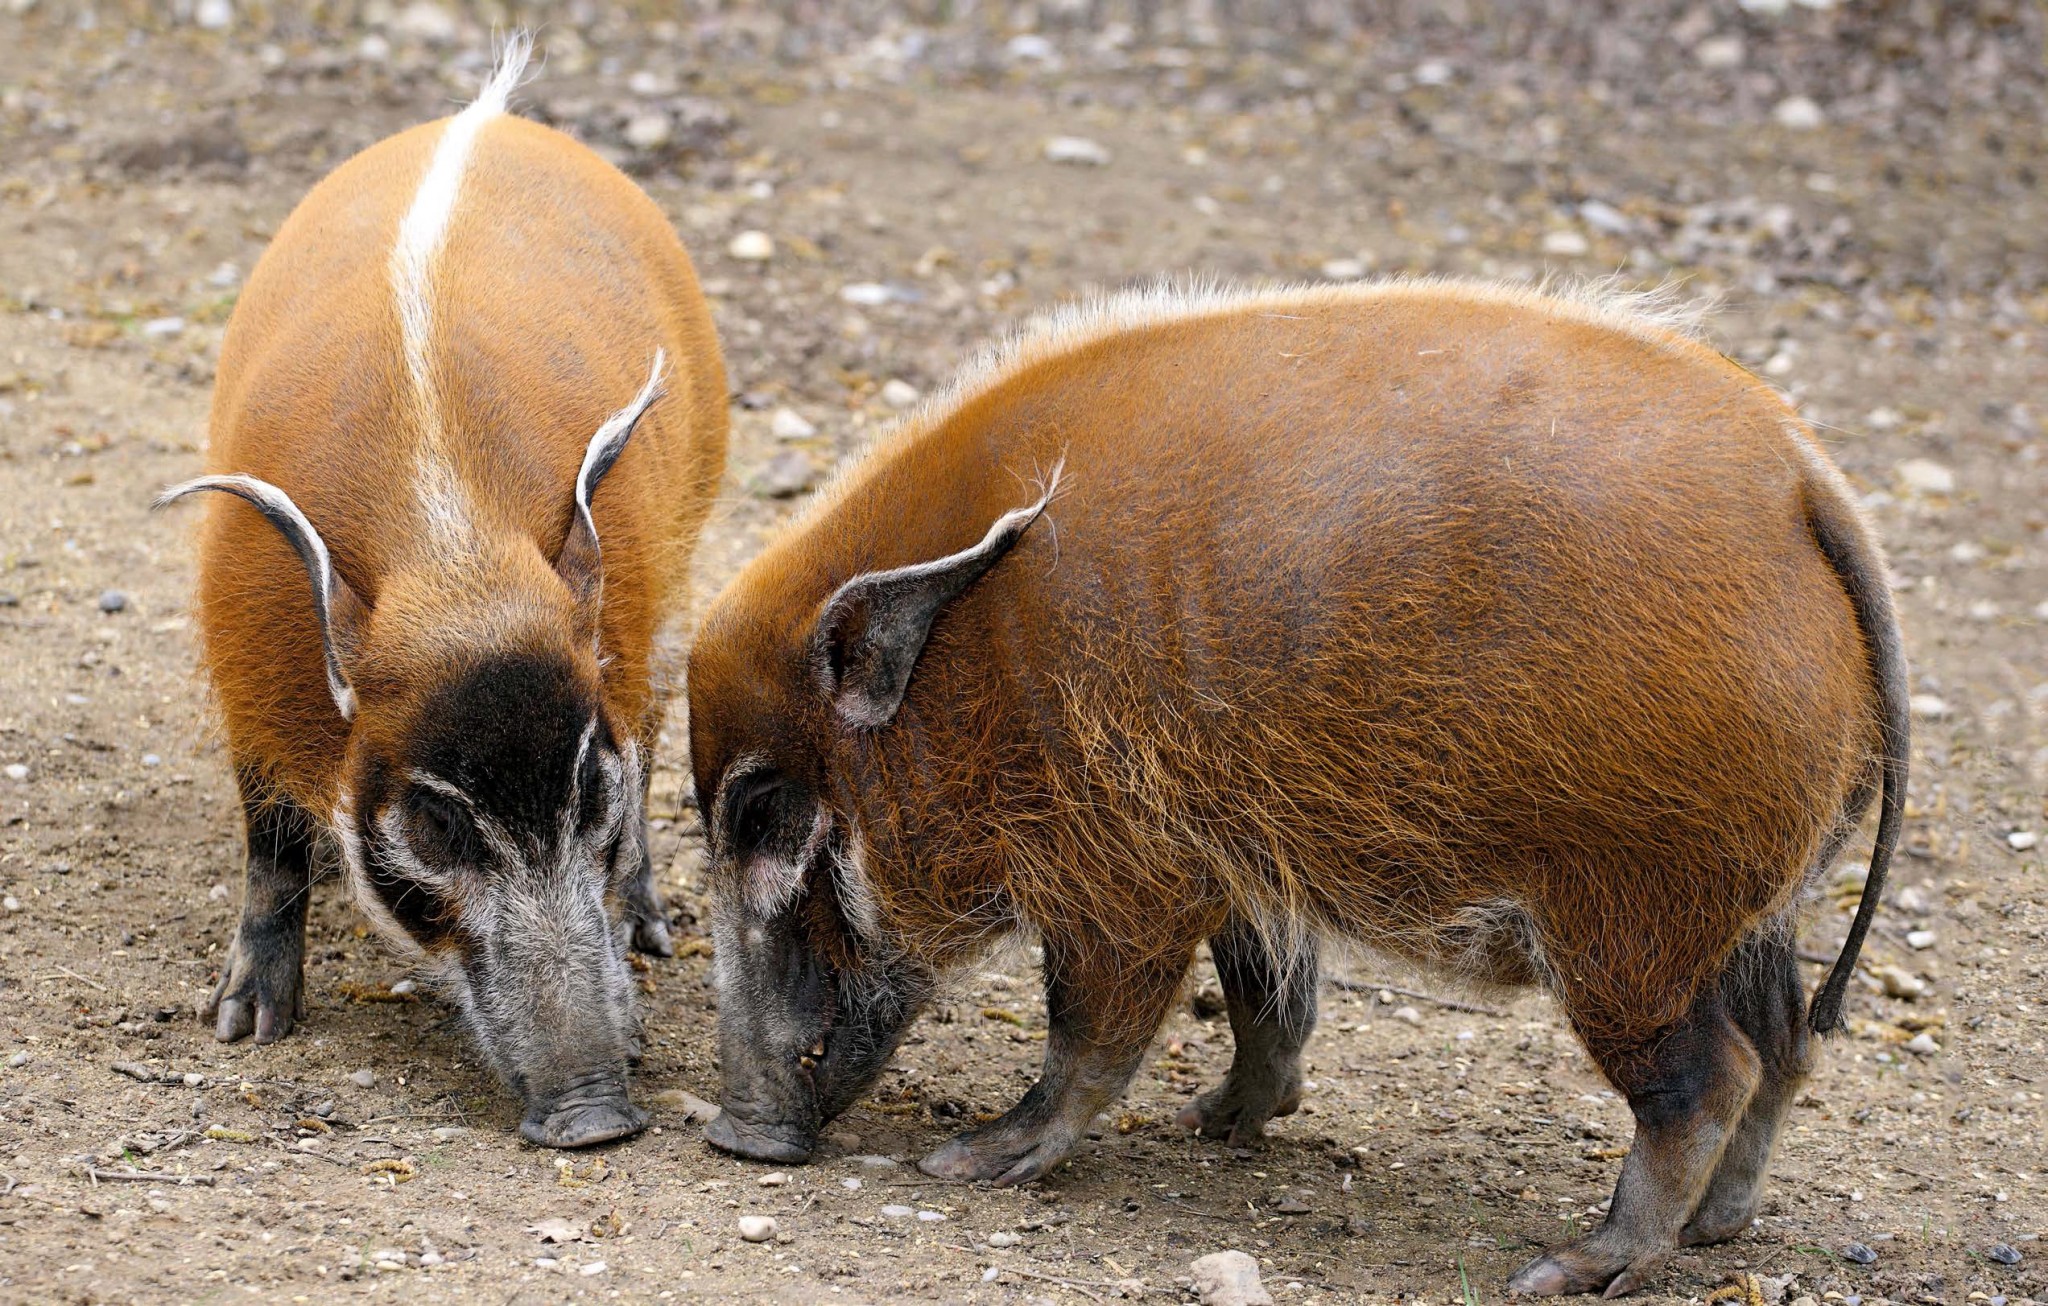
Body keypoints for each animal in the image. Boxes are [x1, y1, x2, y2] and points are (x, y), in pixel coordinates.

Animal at [684, 279, 1904, 1294]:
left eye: (761, 810)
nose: (735, 1139)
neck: (979, 655)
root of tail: (1805, 481)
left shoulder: (1119, 877)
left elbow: (1093, 1029)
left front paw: (970, 1159)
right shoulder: (1236, 860)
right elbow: (1267, 997)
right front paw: (1217, 1120)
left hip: (1631, 923)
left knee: (1712, 1078)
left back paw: (1577, 1266)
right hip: (1746, 909)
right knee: (1788, 1045)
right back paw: (1715, 1231)